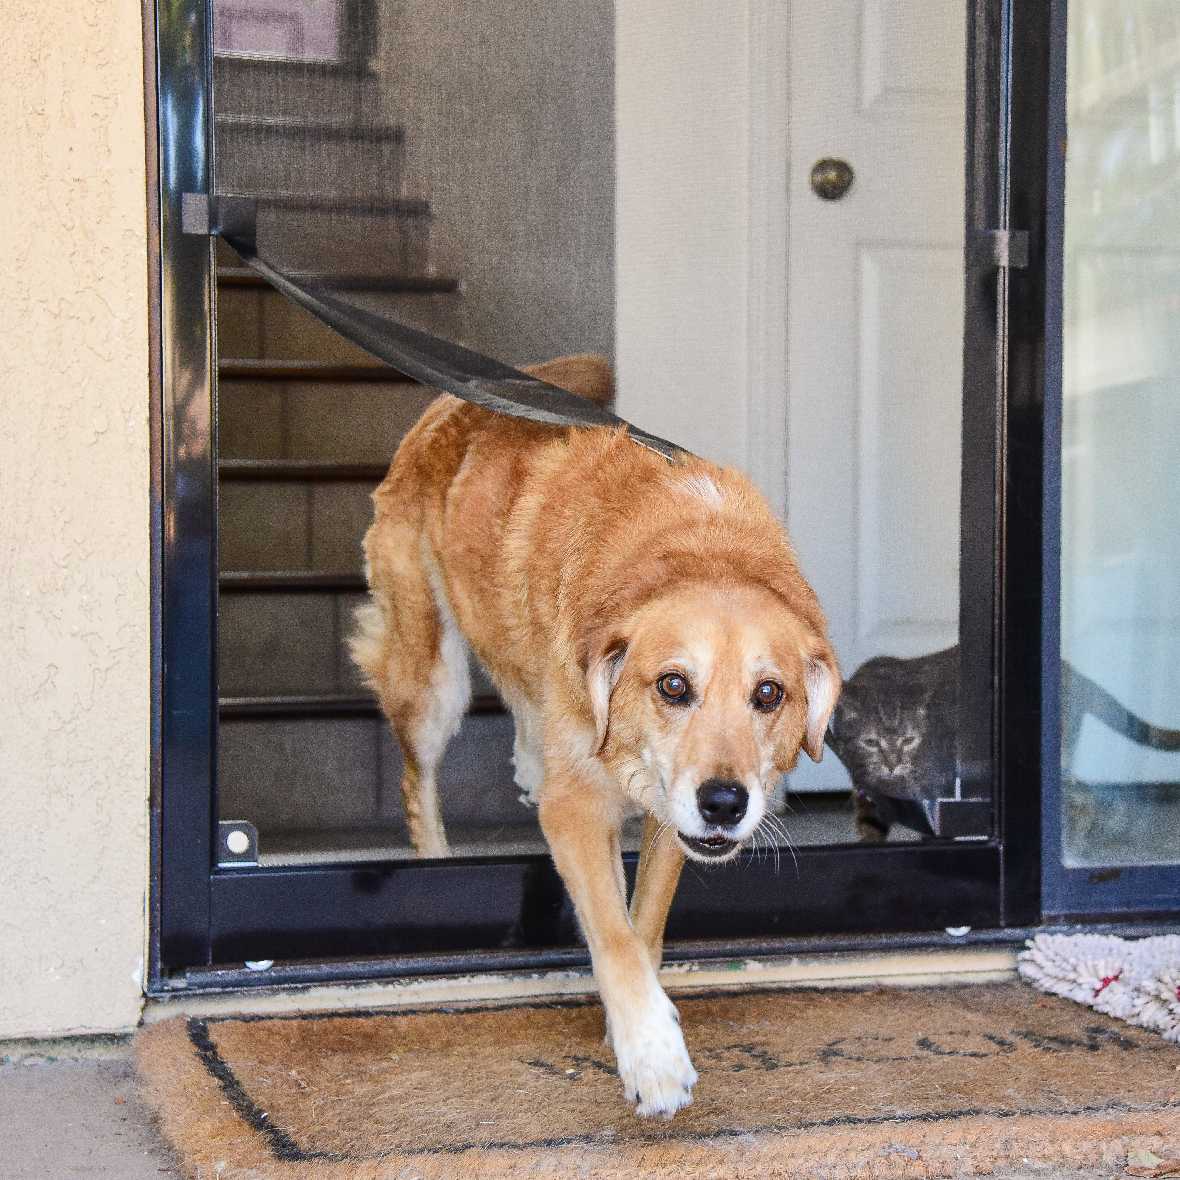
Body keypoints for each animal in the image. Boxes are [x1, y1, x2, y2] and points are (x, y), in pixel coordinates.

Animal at [349, 349, 840, 1113]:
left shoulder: (668, 819)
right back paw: (435, 855)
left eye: (769, 694)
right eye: (673, 685)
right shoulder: (577, 810)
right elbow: (613, 934)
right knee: (416, 779)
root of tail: (451, 405)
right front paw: (652, 1055)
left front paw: (637, 1027)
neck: (700, 550)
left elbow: (645, 926)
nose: (725, 804)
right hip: (429, 675)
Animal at [825, 651, 1180, 844]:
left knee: (1084, 800)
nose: (892, 761)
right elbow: (870, 830)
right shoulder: (869, 798)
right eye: (871, 742)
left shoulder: (937, 795)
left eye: (910, 740)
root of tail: (1076, 674)